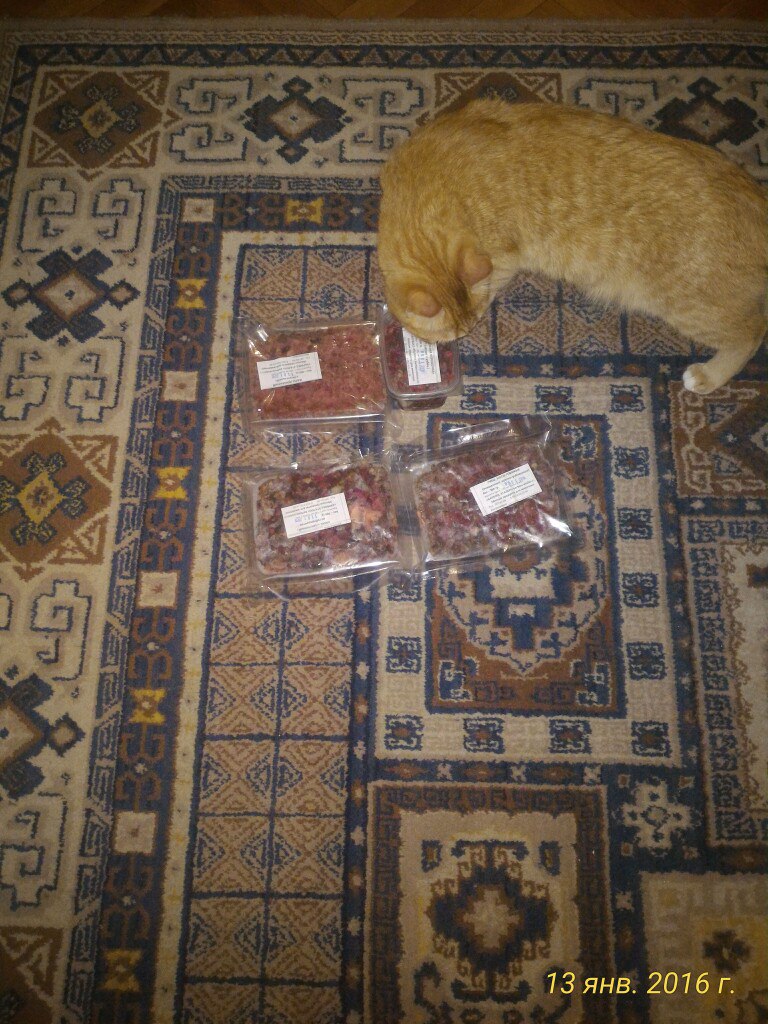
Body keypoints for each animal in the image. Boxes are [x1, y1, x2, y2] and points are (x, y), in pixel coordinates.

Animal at [377, 98, 767, 394]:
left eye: (461, 332)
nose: (469, 331)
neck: (431, 180)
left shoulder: (503, 259)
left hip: (691, 308)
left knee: (751, 332)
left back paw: (708, 375)